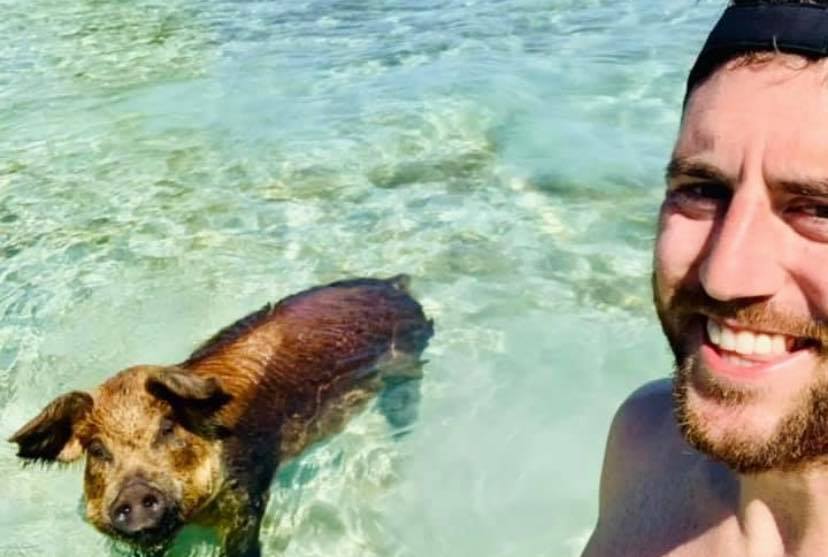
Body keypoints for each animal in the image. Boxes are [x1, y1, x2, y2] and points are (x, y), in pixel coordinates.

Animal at [8, 275, 433, 557]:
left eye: (167, 427)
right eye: (97, 450)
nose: (135, 492)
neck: (196, 516)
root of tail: (393, 285)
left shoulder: (247, 492)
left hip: (408, 354)